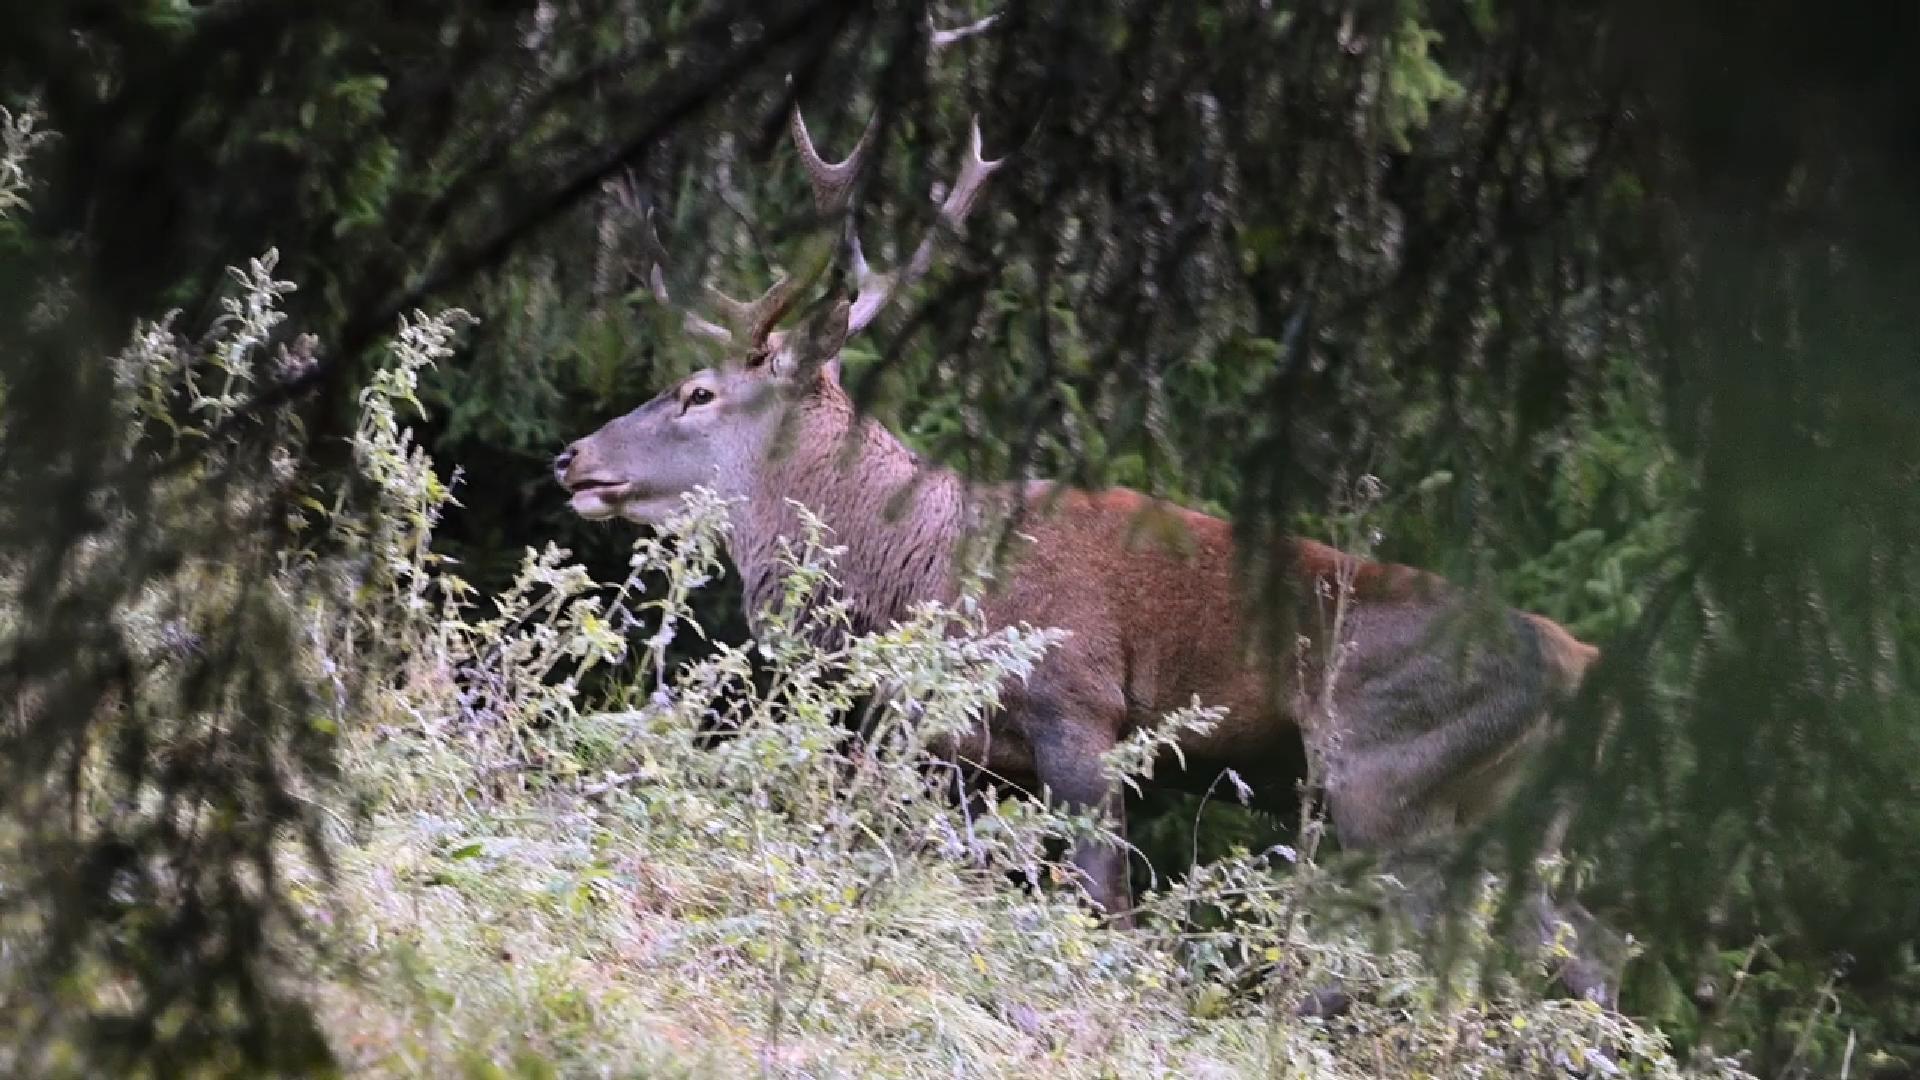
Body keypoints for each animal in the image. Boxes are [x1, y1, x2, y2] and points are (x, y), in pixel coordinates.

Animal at [554, 64, 1617, 1005]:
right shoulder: (956, 751)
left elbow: (1106, 901)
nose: (572, 457)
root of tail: (1580, 666)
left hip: (1385, 777)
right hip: (1514, 815)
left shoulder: (1079, 707)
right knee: (1583, 951)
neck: (919, 570)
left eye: (698, 393)